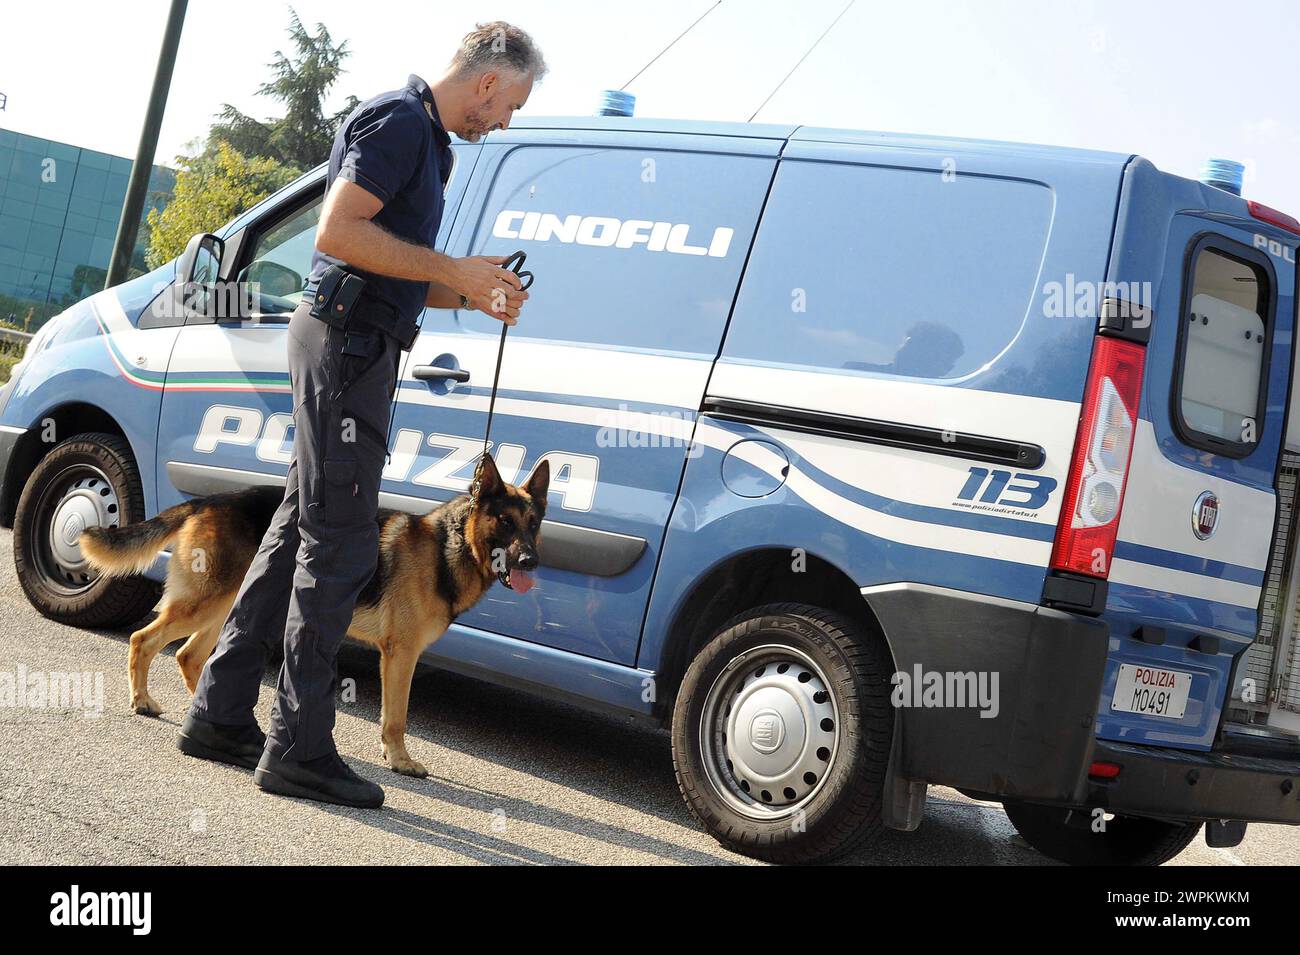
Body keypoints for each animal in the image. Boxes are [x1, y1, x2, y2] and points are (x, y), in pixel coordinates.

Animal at [79, 454, 548, 779]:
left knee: (189, 656)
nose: (531, 561)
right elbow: (396, 717)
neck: (452, 546)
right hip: (204, 604)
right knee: (144, 640)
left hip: (227, 607)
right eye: (504, 521)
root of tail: (207, 501)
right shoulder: (401, 654)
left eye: (533, 523)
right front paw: (400, 760)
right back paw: (142, 700)